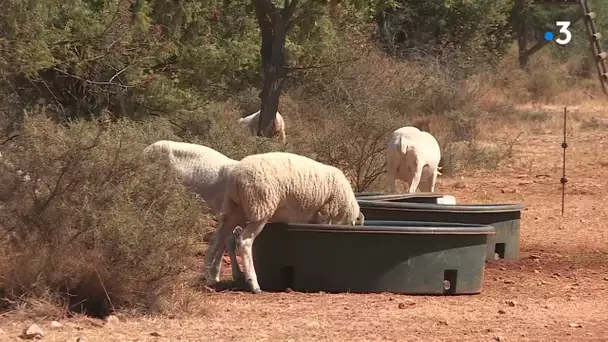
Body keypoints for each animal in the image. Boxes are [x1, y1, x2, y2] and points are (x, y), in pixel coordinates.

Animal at [144, 140, 243, 280]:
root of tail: (146, 150)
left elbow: (228, 241)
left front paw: (230, 274)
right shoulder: (226, 213)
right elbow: (224, 240)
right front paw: (213, 274)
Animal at [204, 152, 366, 294]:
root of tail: (236, 178)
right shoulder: (326, 214)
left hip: (236, 209)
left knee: (218, 237)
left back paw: (205, 274)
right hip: (260, 207)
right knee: (244, 241)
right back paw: (254, 284)